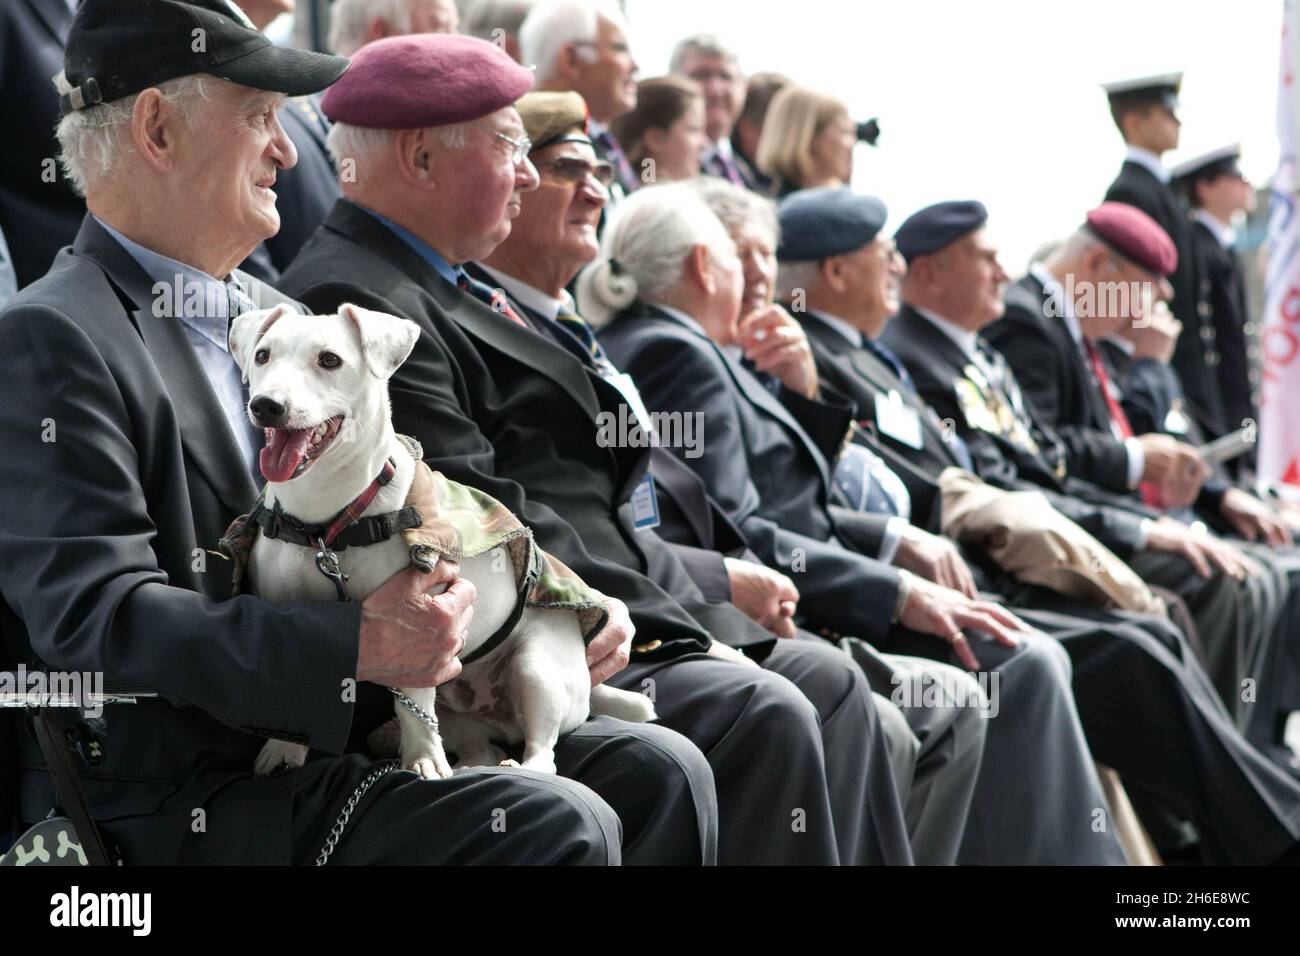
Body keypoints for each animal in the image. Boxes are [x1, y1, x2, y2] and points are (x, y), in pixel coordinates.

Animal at [224, 303, 655, 780]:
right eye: (262, 355)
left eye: (330, 360)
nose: (266, 405)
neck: (328, 521)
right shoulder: (291, 614)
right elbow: (297, 683)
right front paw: (284, 748)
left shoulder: (424, 623)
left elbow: (413, 704)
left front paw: (423, 760)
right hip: (461, 716)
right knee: (472, 740)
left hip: (538, 668)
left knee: (543, 752)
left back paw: (519, 765)